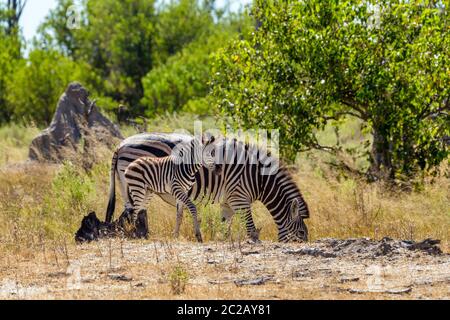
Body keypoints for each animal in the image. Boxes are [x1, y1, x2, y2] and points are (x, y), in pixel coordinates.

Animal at [105, 131, 310, 241]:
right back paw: (136, 236)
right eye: (301, 232)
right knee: (131, 213)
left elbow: (225, 226)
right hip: (137, 186)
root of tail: (121, 145)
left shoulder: (228, 202)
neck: (256, 178)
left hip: (132, 187)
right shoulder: (239, 199)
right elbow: (251, 229)